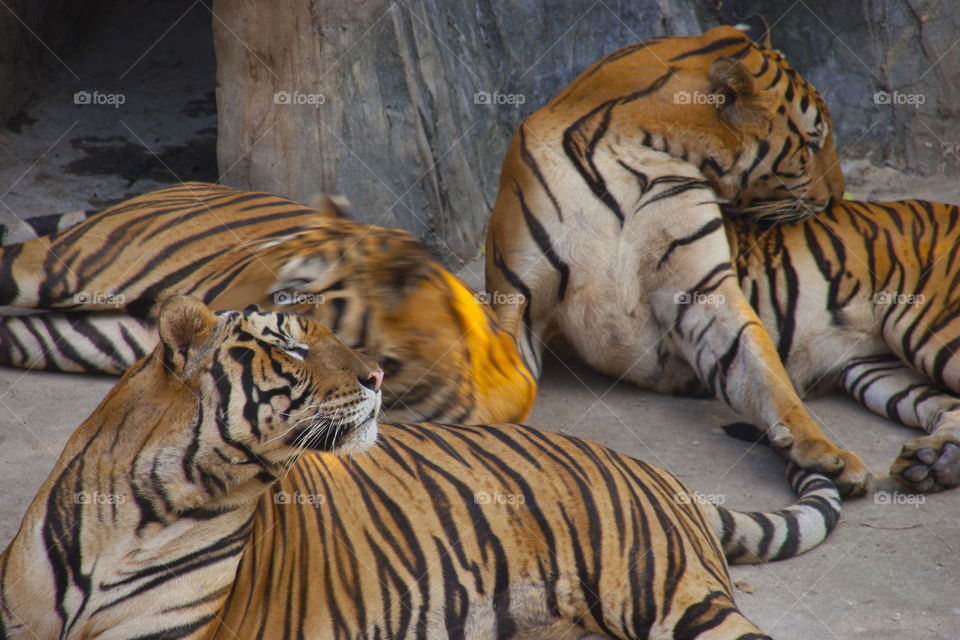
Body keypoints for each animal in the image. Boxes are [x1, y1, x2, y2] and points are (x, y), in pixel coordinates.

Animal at [488, 16, 872, 496]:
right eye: (811, 144)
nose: (837, 195)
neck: (645, 149)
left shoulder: (700, 288)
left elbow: (760, 364)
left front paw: (821, 450)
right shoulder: (516, 298)